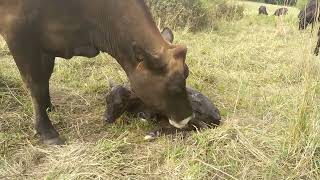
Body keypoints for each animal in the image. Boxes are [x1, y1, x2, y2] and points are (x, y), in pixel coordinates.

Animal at [0, 0, 192, 145]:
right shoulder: (18, 34)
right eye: (174, 86)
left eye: (187, 74)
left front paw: (49, 107)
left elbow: (45, 76)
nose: (188, 118)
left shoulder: (47, 46)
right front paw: (47, 131)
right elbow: (35, 84)